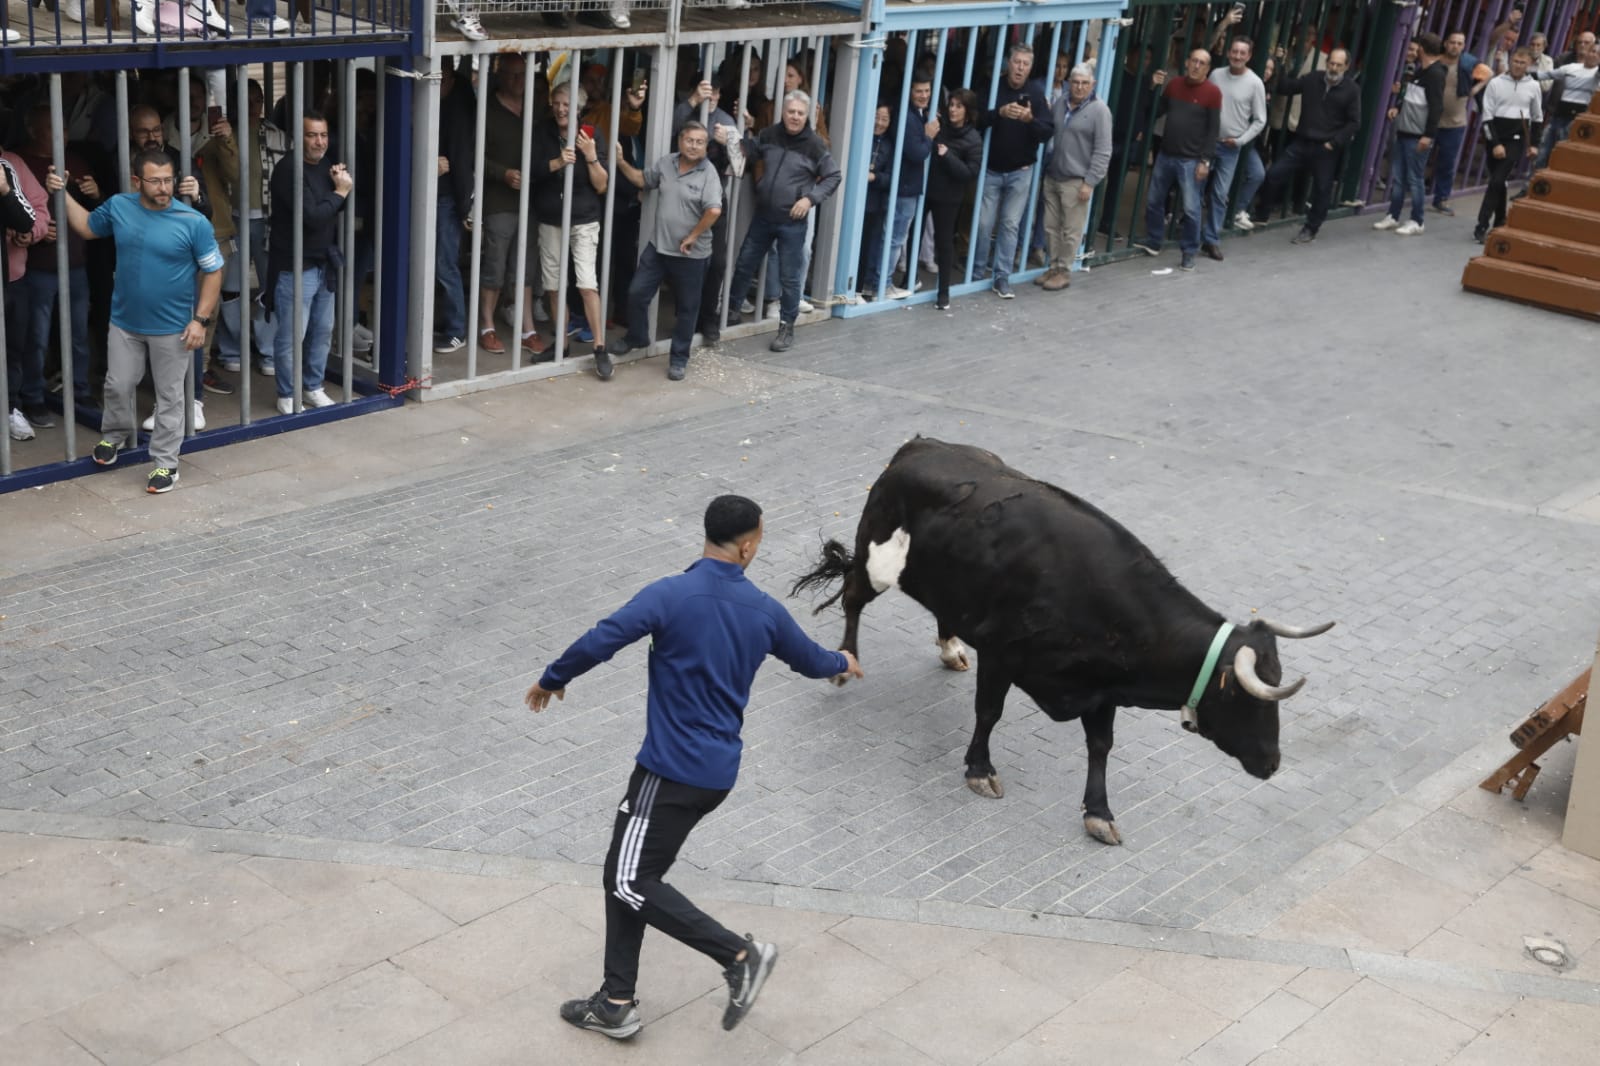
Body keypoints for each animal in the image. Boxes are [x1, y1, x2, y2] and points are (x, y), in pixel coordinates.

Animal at [793, 435, 1331, 845]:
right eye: (1248, 698)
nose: (1272, 763)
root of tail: (919, 446)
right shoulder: (1001, 655)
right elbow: (988, 713)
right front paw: (979, 770)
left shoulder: (1102, 687)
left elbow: (1101, 745)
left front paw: (1099, 813)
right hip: (877, 559)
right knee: (853, 599)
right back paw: (846, 662)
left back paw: (949, 649)